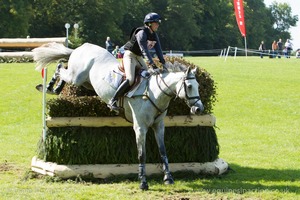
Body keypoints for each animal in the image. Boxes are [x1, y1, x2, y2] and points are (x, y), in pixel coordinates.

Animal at [32, 43, 204, 190]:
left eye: (198, 86)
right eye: (189, 86)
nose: (199, 108)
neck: (155, 92)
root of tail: (81, 47)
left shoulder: (159, 126)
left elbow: (163, 151)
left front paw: (168, 178)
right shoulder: (140, 128)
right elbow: (142, 155)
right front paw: (143, 182)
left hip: (86, 82)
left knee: (64, 67)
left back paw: (54, 88)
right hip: (77, 77)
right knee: (61, 68)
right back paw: (49, 87)